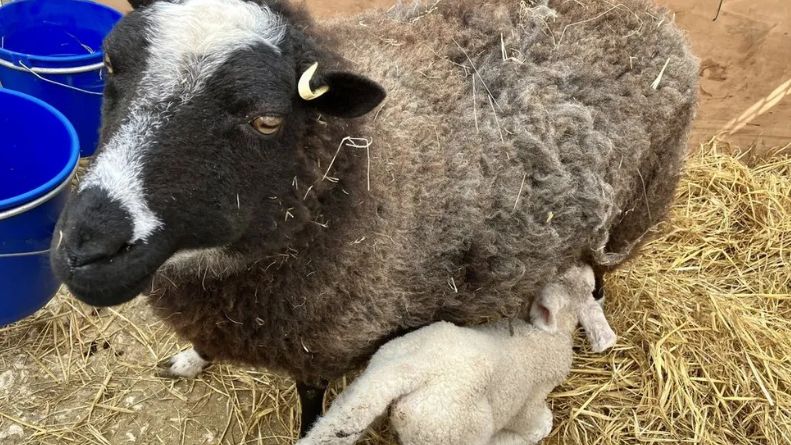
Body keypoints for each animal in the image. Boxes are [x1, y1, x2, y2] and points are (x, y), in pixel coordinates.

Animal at [300, 264, 616, 444]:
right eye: (588, 289)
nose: (588, 264)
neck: (545, 335)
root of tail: (411, 372)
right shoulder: (530, 403)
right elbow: (540, 426)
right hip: (451, 433)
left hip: (377, 376)